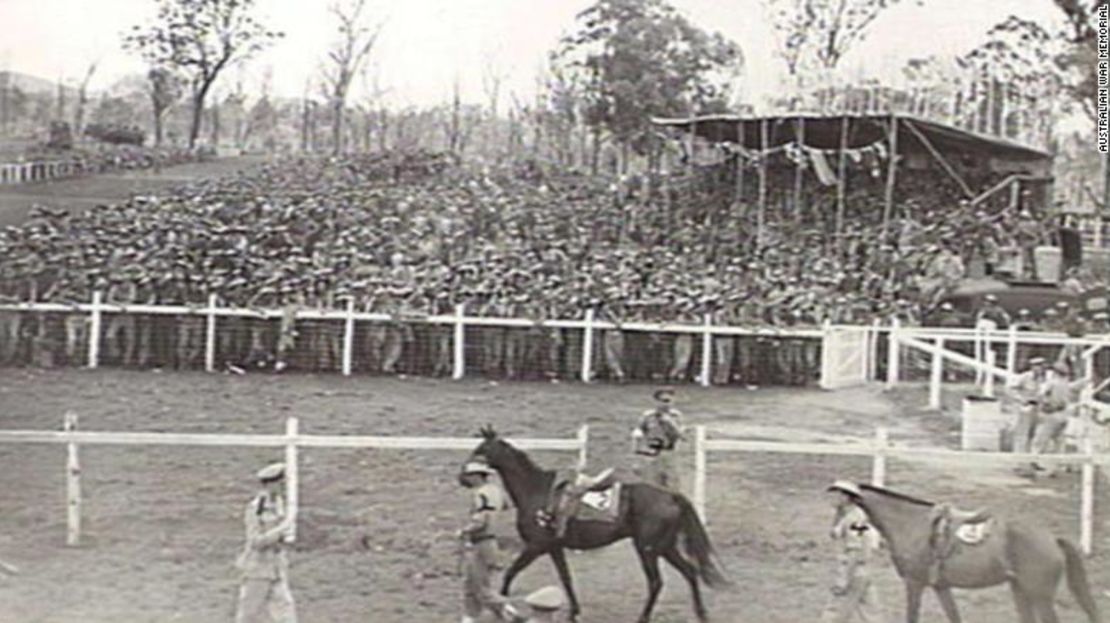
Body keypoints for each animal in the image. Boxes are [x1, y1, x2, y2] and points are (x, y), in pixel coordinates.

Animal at [466, 424, 728, 617]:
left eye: (481, 450)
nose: (463, 475)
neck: (536, 492)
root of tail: (670, 495)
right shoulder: (554, 547)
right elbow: (566, 579)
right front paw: (574, 612)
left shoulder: (536, 546)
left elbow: (511, 572)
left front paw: (503, 607)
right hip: (665, 547)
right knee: (690, 571)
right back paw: (701, 613)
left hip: (648, 549)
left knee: (656, 582)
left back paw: (644, 617)